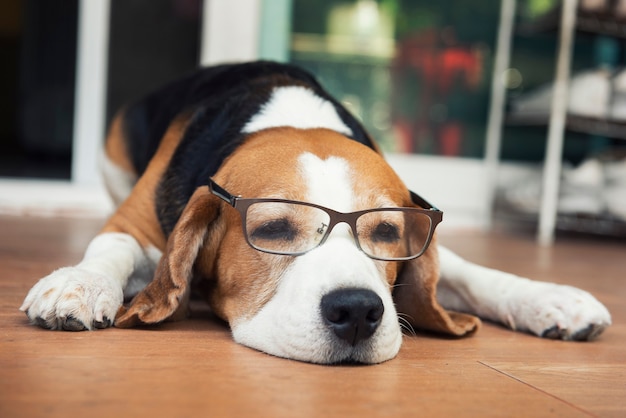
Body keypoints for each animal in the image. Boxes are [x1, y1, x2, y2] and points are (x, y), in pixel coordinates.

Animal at [20, 60, 608, 364]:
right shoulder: (133, 224)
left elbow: (473, 273)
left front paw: (549, 298)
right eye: (274, 228)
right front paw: (79, 283)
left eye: (387, 232)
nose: (358, 312)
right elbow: (110, 248)